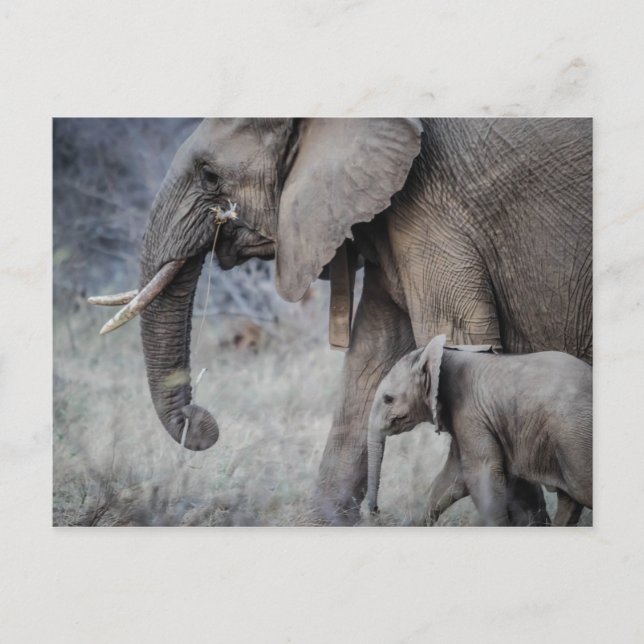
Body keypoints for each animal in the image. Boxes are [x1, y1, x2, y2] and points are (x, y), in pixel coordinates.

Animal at [367, 335, 593, 526]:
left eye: (388, 399)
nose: (376, 511)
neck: (442, 356)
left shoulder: (471, 413)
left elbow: (482, 475)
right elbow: (451, 480)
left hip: (574, 435)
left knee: (581, 490)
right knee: (570, 500)